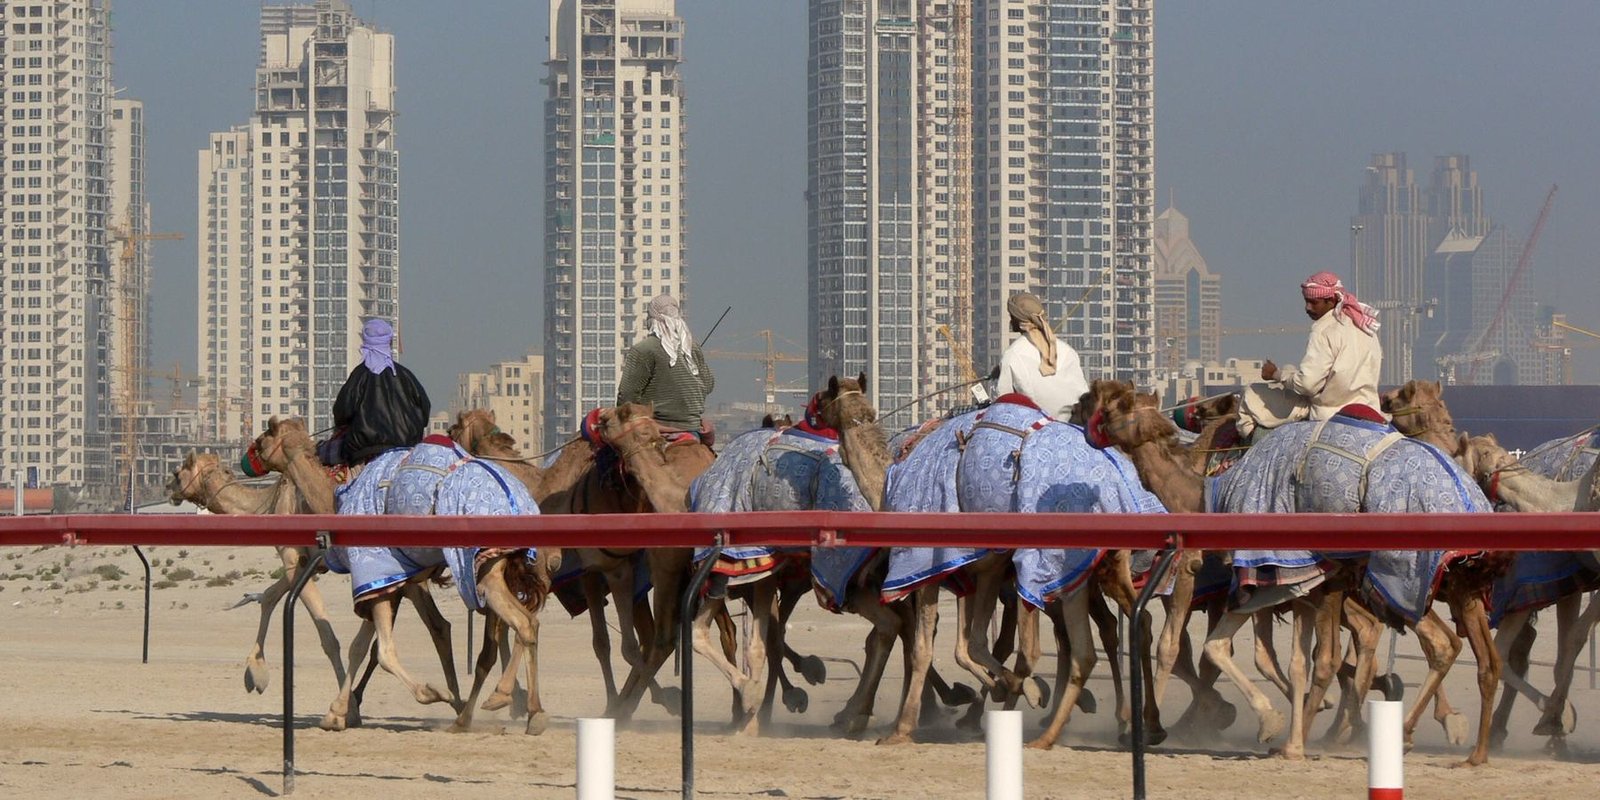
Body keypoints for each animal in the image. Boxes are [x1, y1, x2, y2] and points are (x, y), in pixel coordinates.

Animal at [1088, 383, 1505, 765]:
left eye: (1112, 405)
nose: (1091, 425)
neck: (1209, 495)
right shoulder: (1287, 585)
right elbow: (1273, 657)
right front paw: (1282, 723)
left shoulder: (1231, 575)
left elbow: (1181, 647)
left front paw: (1157, 727)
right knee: (1455, 650)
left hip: (1399, 577)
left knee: (1433, 642)